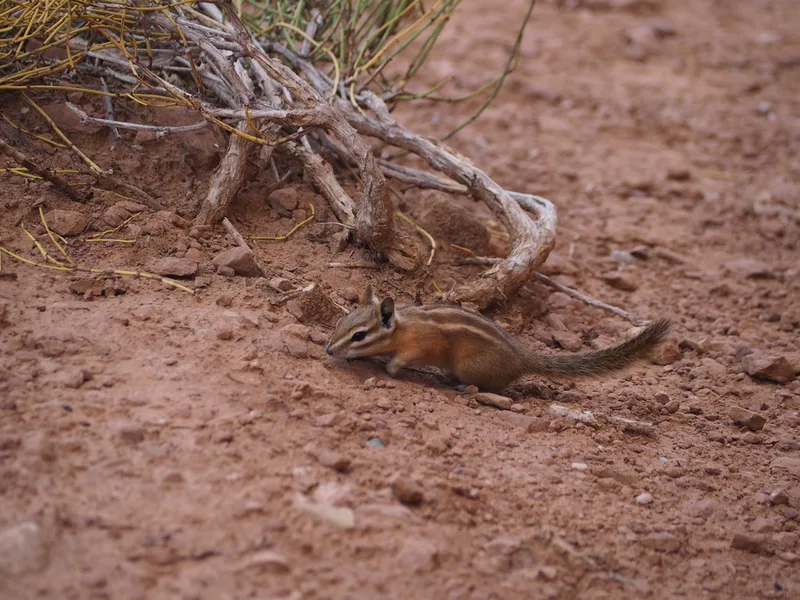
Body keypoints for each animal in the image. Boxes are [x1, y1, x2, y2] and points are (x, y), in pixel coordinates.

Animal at [325, 285, 672, 393]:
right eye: (340, 322)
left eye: (359, 335)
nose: (328, 350)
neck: (402, 327)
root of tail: (522, 357)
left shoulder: (419, 345)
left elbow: (402, 361)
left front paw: (392, 369)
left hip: (470, 367)